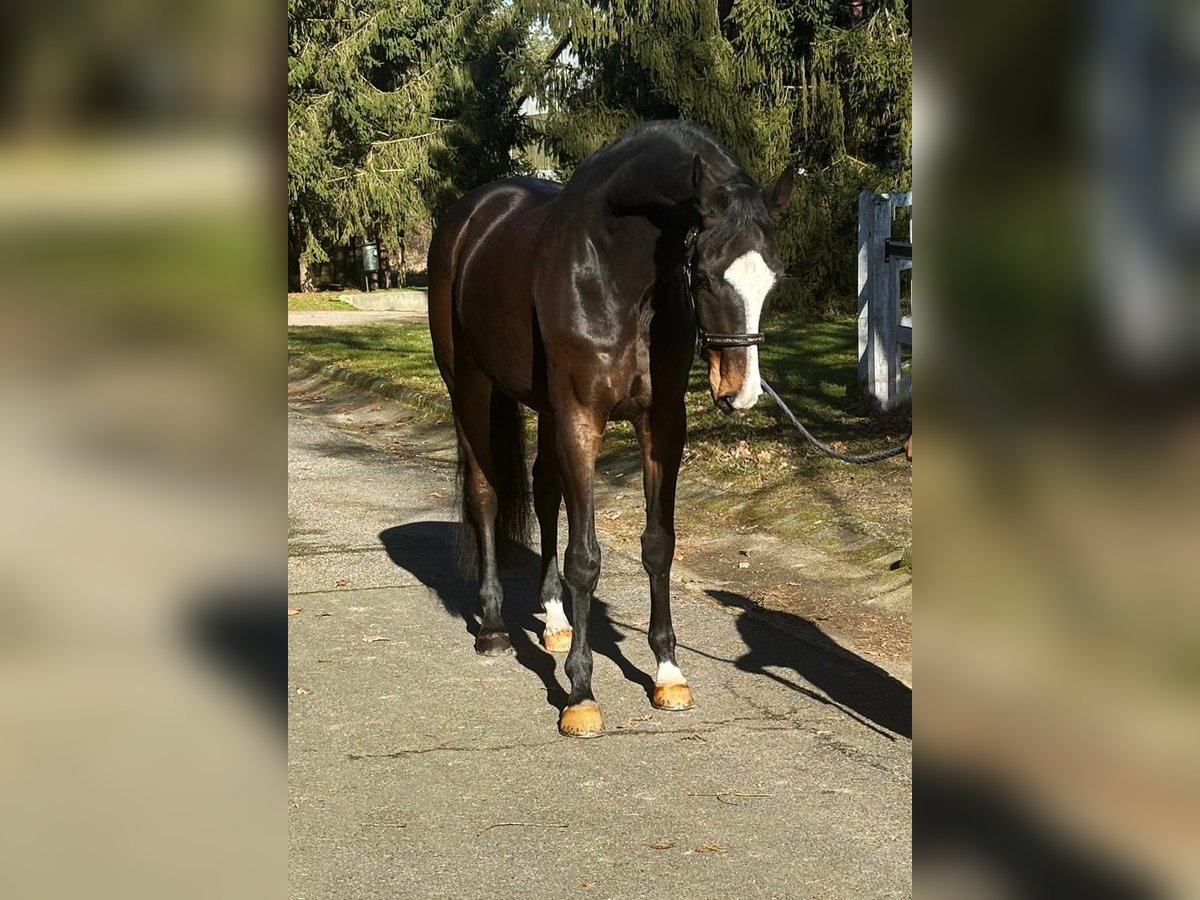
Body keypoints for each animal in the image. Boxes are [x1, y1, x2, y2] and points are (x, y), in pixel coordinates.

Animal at [427, 121, 792, 739]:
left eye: (773, 278)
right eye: (706, 275)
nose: (740, 392)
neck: (615, 270)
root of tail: (468, 218)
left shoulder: (661, 423)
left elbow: (658, 545)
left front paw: (668, 672)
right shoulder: (581, 417)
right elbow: (586, 558)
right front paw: (580, 693)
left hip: (543, 409)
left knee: (544, 493)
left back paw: (554, 621)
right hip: (470, 388)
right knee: (485, 496)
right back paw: (495, 627)